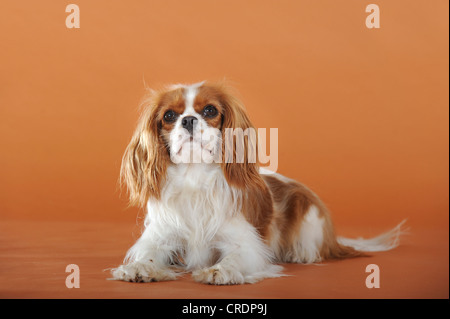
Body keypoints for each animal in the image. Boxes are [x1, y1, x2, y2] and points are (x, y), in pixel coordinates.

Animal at [110, 81, 404, 286]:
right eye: (169, 116)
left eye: (210, 110)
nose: (189, 120)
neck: (195, 176)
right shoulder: (161, 236)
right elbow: (148, 252)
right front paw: (139, 268)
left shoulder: (247, 245)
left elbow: (235, 257)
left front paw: (220, 270)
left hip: (308, 212)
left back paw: (301, 254)